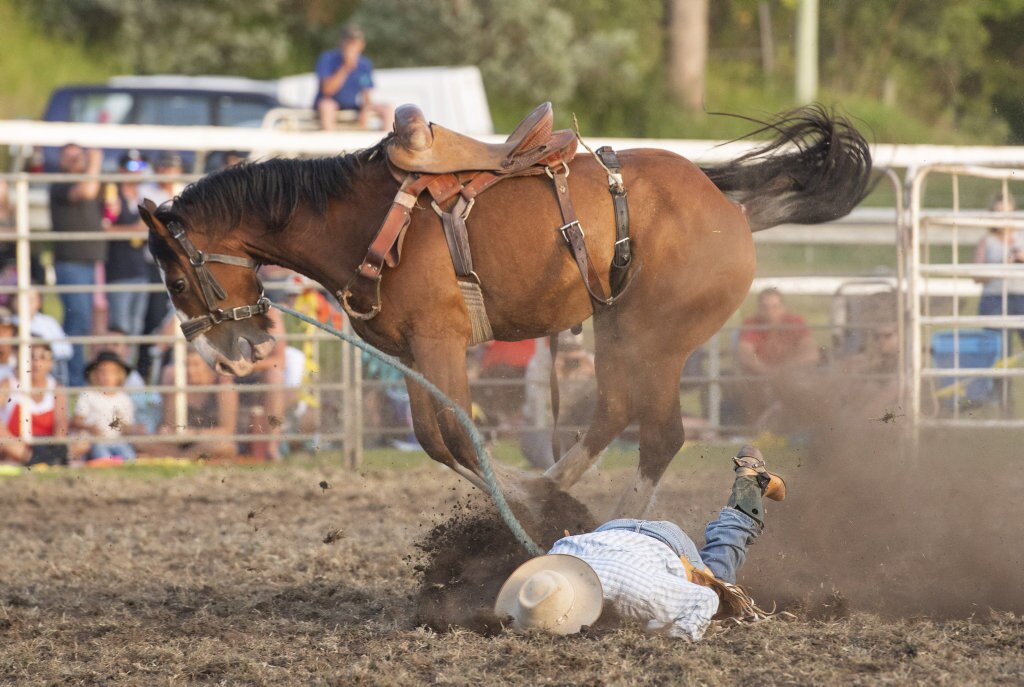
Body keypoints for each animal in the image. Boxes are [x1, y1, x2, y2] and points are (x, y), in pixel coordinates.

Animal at [142, 105, 872, 516]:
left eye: (174, 280)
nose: (229, 357)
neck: (362, 220)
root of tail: (724, 199)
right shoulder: (410, 351)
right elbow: (434, 437)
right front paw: (532, 497)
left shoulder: (440, 339)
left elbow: (457, 434)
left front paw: (519, 502)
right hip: (615, 323)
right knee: (615, 410)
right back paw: (557, 486)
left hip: (656, 336)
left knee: (661, 434)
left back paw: (613, 520)